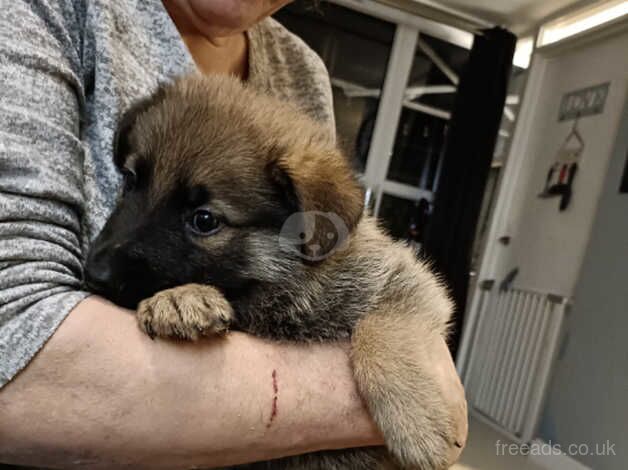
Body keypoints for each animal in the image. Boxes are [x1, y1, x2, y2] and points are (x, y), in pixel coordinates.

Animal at [84, 75, 456, 468]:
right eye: (130, 181)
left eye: (204, 220)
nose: (94, 273)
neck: (290, 286)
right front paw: (180, 299)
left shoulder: (405, 281)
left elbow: (379, 329)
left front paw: (415, 421)